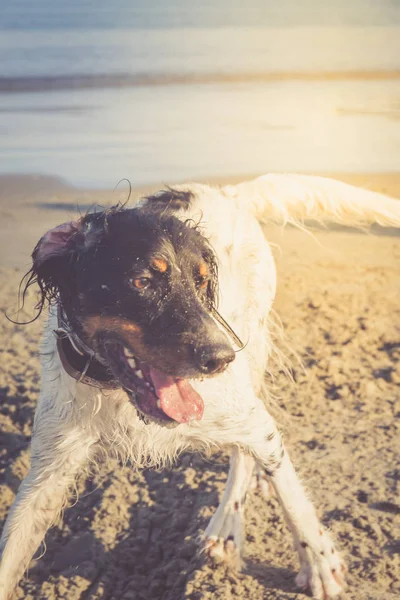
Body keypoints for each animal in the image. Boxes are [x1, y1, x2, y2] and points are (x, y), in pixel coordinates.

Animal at [0, 171, 400, 596]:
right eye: (141, 281)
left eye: (203, 282)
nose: (220, 358)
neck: (120, 395)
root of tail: (228, 191)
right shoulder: (50, 469)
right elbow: (12, 552)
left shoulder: (251, 418)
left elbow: (290, 491)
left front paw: (319, 562)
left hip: (251, 351)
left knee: (248, 452)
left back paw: (227, 525)